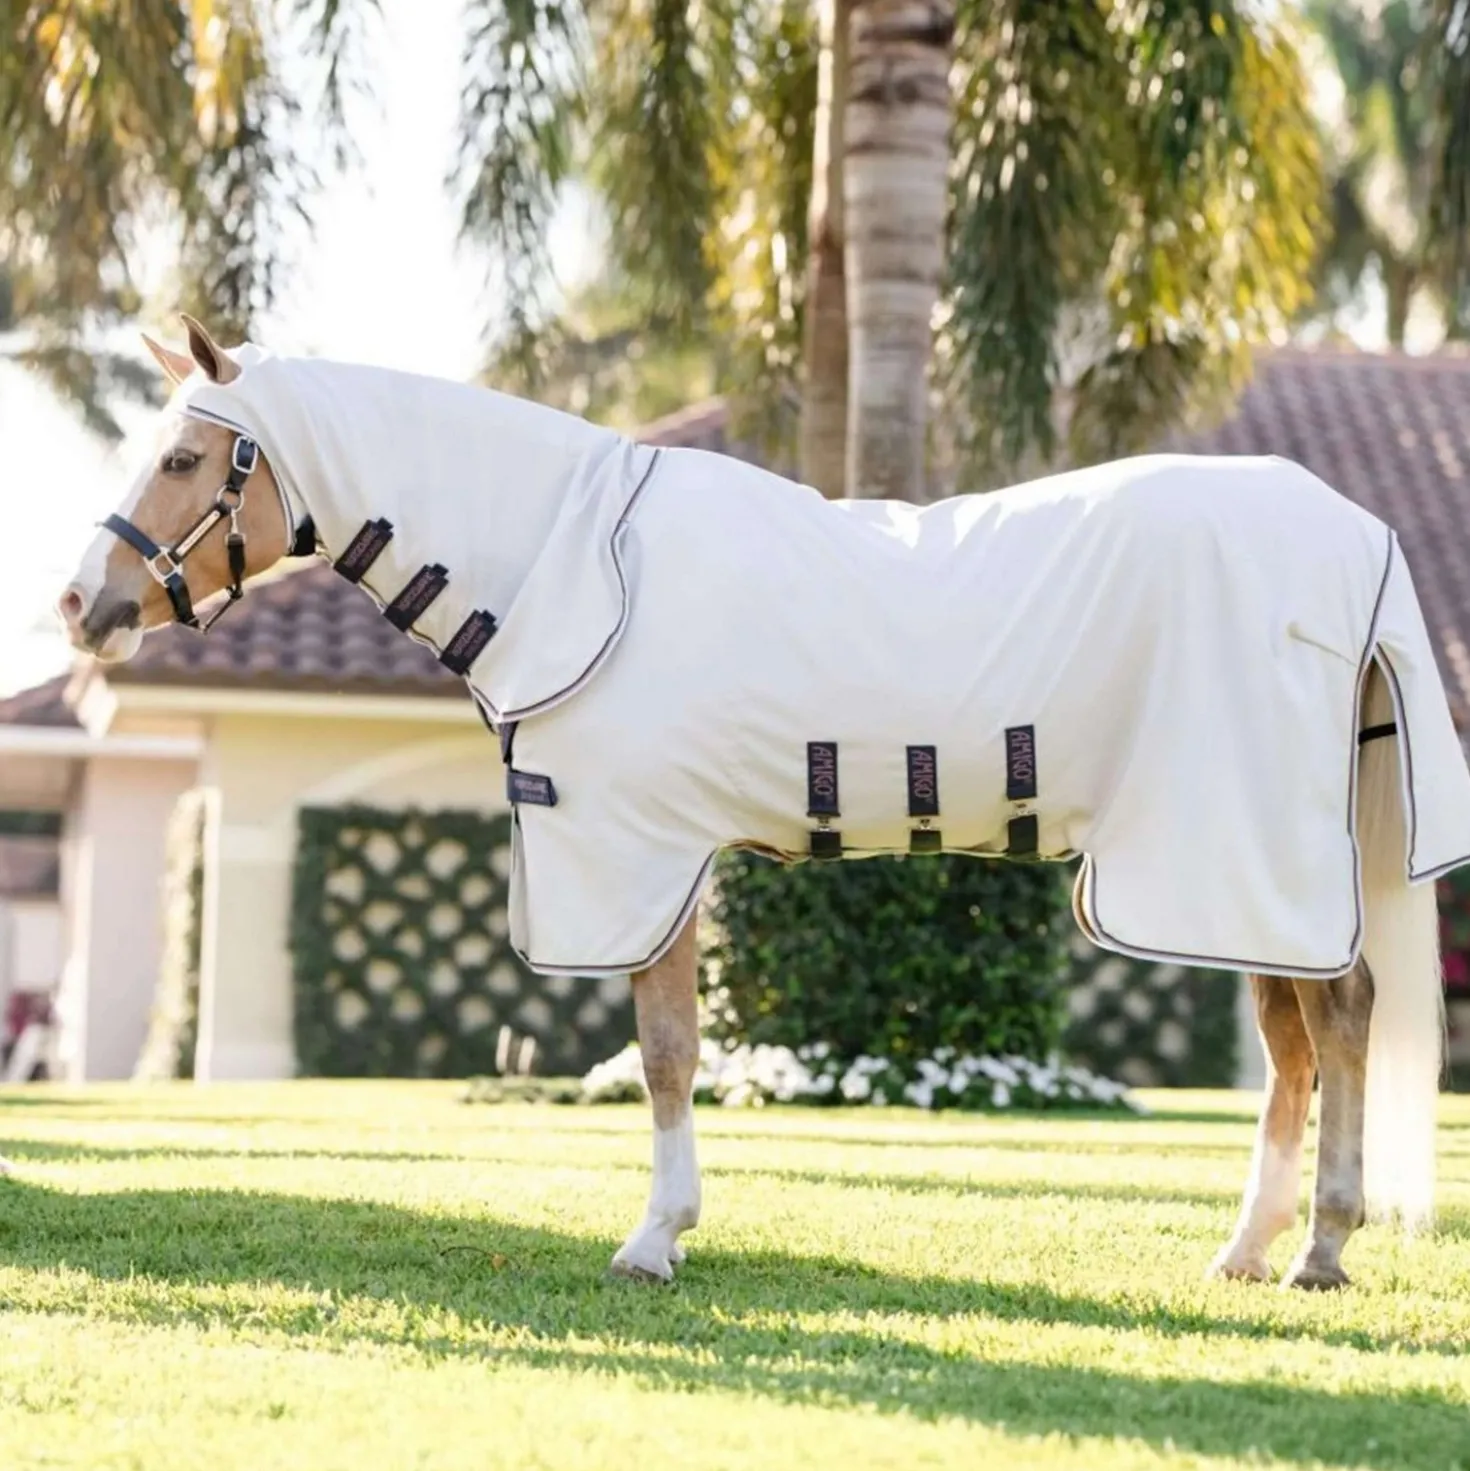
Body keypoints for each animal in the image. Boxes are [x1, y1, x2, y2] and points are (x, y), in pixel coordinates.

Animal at [58, 316, 1467, 1289]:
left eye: (183, 454)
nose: (81, 605)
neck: (577, 564)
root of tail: (1358, 534)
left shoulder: (642, 856)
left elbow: (668, 1052)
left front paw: (653, 1239)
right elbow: (673, 1049)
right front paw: (669, 1228)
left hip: (1240, 854)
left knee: (1340, 1018)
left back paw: (1321, 1250)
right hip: (1230, 869)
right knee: (1295, 1043)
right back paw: (1249, 1249)